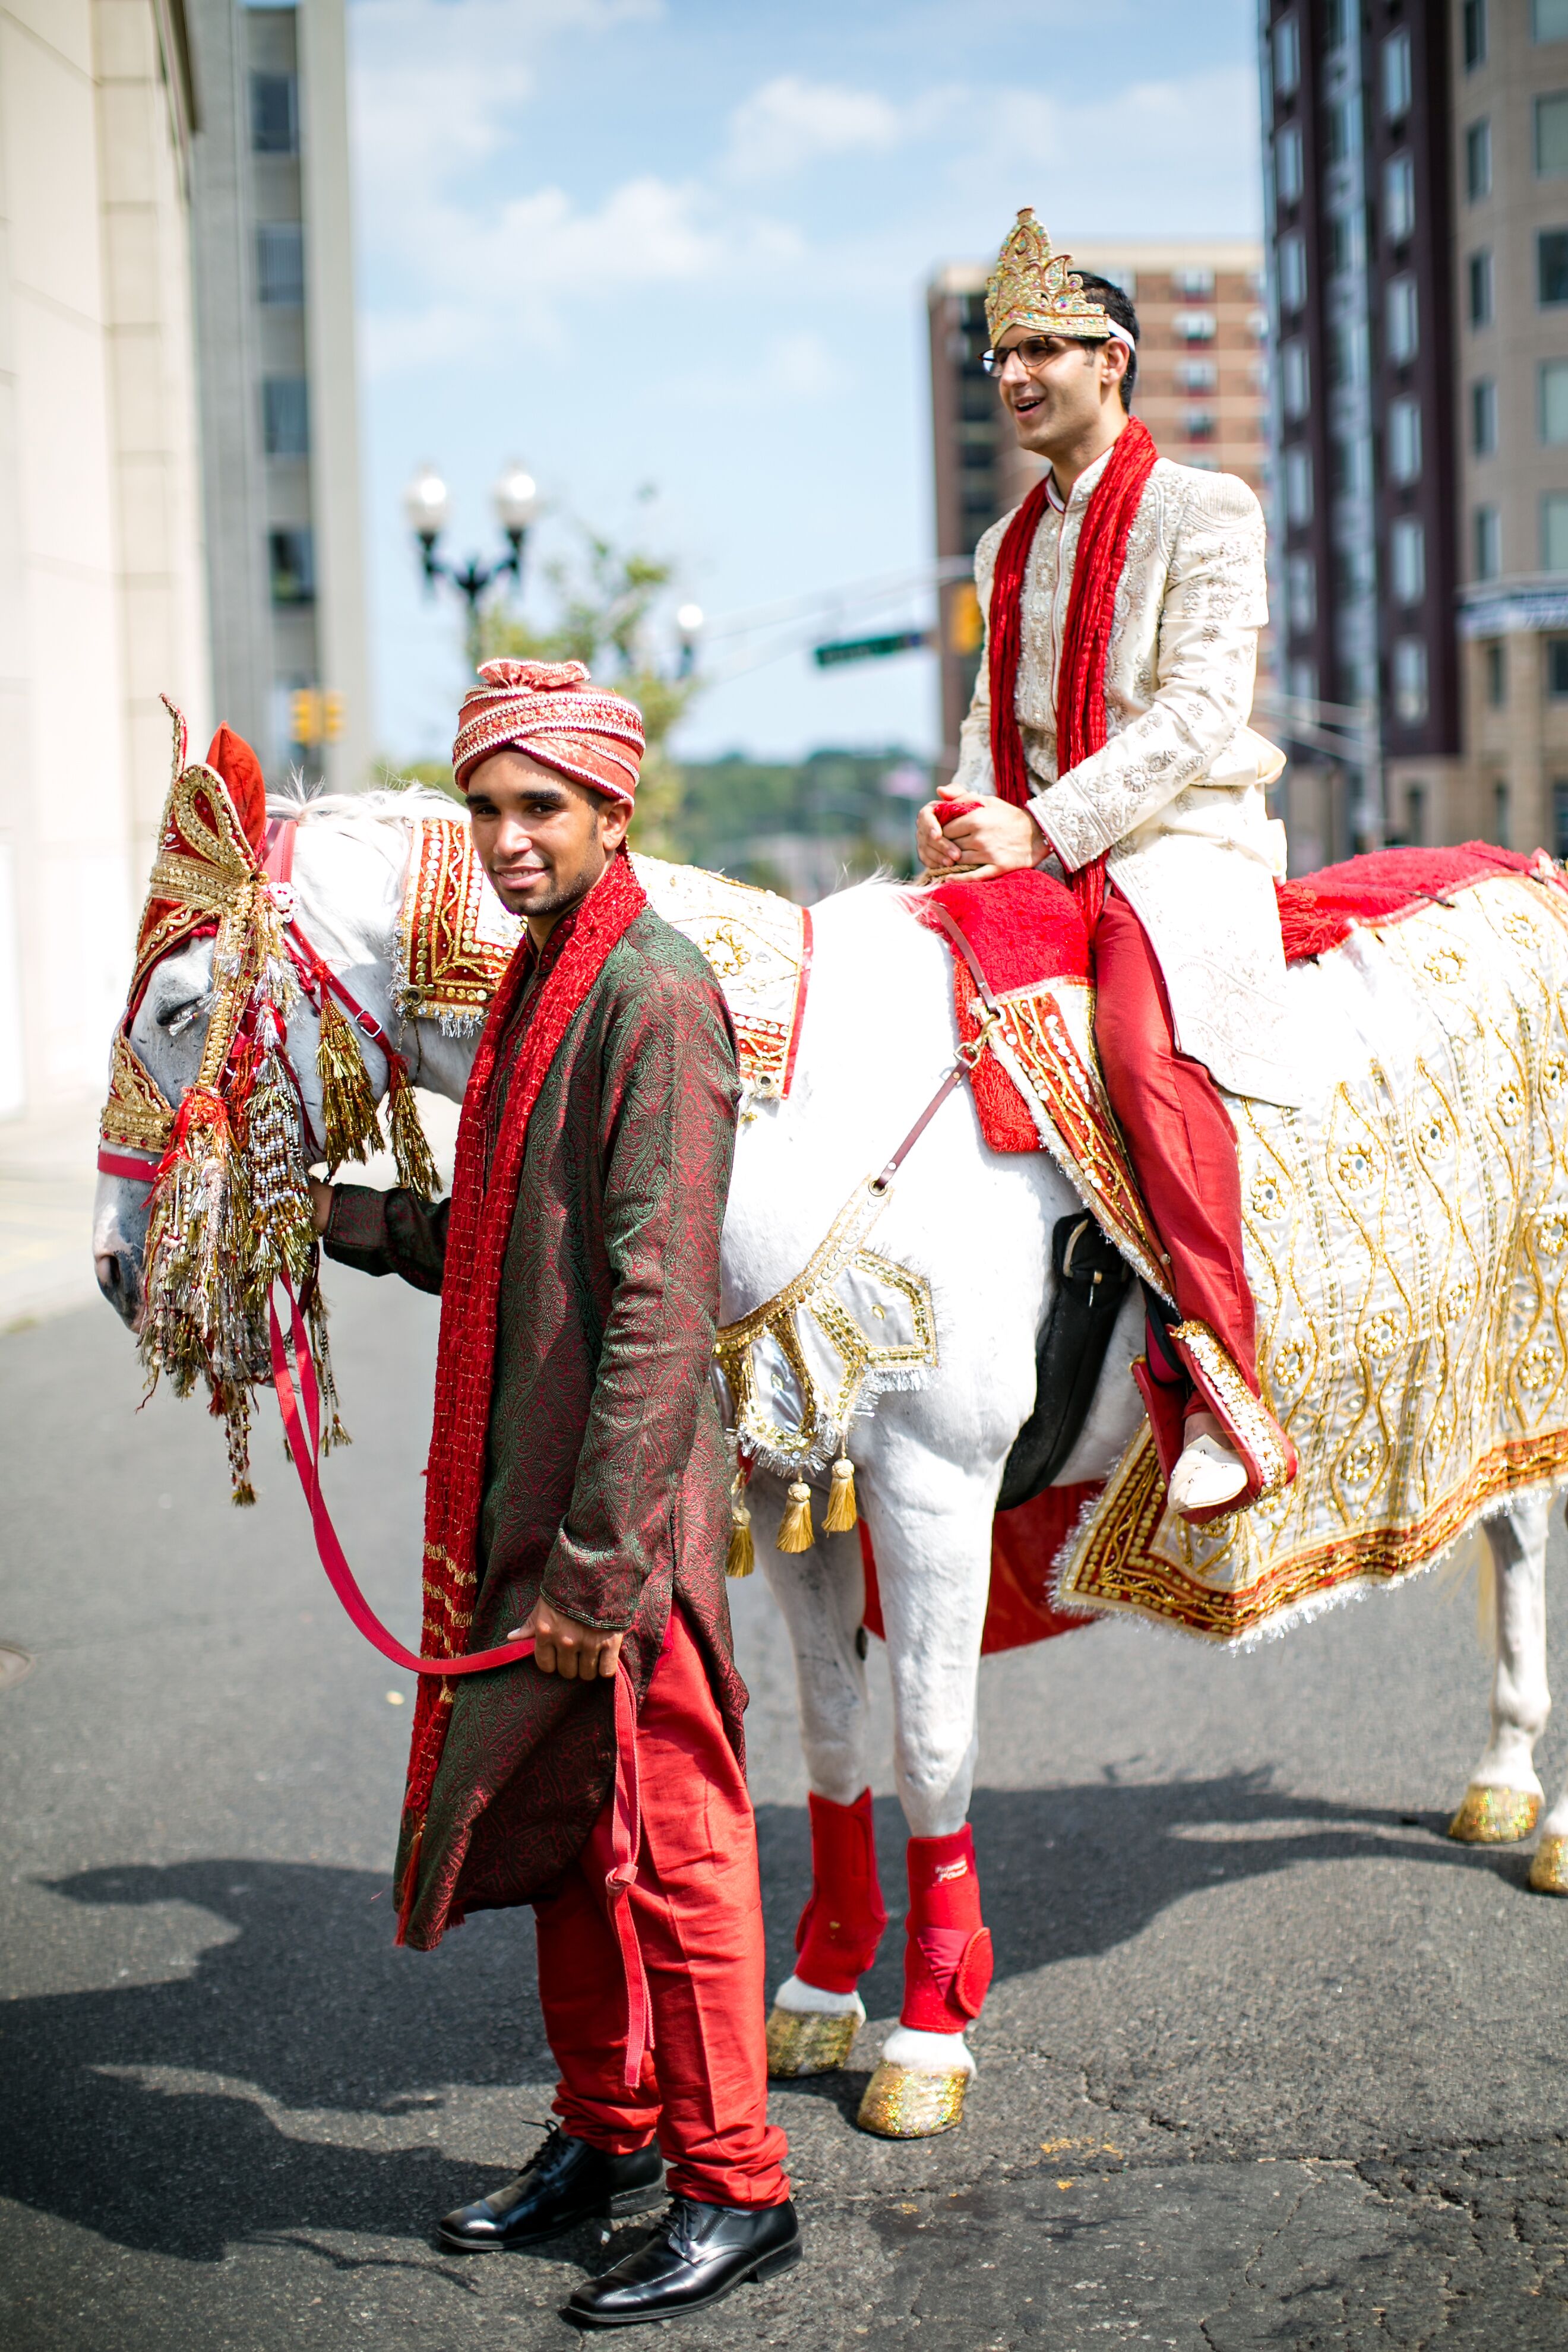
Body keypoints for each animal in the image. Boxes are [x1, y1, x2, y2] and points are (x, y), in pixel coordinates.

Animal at [95, 790, 1568, 2135]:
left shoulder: (932, 1486)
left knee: (1528, 1537)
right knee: (1509, 1531)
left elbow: (931, 1740)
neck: (799, 1114)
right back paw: (1504, 1785)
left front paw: (927, 2037)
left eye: (179, 1008)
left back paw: (1541, 1828)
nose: (114, 1268)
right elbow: (837, 1733)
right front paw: (815, 1996)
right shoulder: (796, 1482)